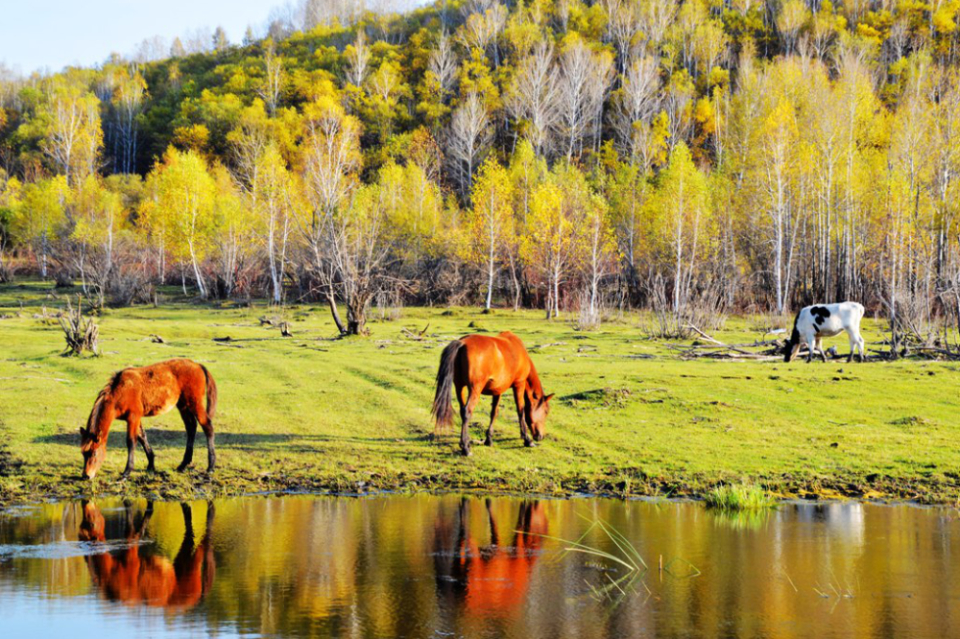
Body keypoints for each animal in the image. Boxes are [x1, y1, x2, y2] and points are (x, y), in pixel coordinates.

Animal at [79, 360, 218, 480]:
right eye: (84, 454)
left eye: (94, 453)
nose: (86, 475)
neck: (121, 391)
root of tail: (197, 365)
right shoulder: (136, 418)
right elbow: (142, 438)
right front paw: (151, 465)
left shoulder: (133, 417)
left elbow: (131, 441)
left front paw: (126, 472)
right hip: (183, 405)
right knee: (191, 428)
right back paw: (183, 465)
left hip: (195, 404)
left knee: (207, 427)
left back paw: (210, 467)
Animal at [430, 330, 552, 460]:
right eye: (545, 411)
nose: (541, 436)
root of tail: (462, 343)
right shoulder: (519, 384)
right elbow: (521, 411)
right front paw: (527, 440)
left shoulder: (497, 390)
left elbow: (494, 413)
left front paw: (489, 439)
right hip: (475, 389)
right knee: (467, 412)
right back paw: (466, 448)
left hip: (459, 387)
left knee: (462, 410)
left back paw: (465, 443)